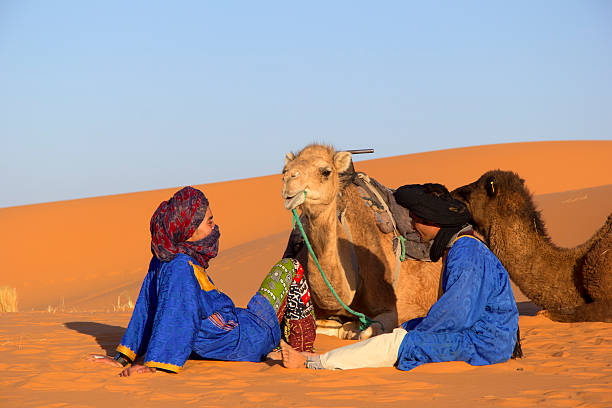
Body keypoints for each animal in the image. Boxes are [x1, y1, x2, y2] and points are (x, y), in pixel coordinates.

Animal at [280, 145, 442, 340]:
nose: (289, 183)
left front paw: (352, 328)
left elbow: (366, 333)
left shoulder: (399, 307)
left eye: (326, 171)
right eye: (284, 171)